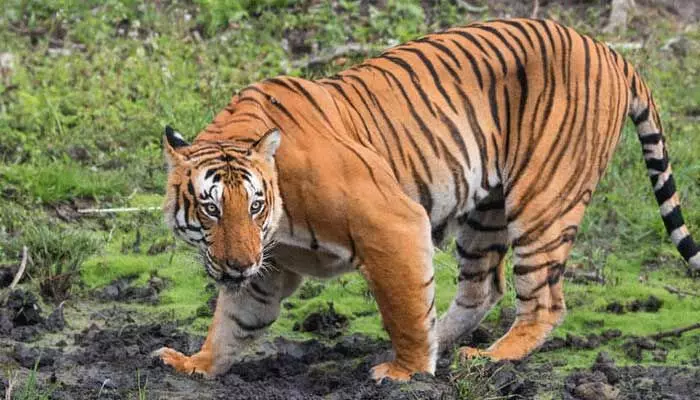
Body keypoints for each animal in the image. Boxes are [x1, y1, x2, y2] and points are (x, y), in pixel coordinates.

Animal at [153, 18, 700, 382]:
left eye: (255, 205)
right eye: (211, 208)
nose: (238, 264)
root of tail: (610, 51)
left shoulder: (391, 221)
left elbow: (404, 305)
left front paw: (408, 371)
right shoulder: (267, 266)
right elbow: (235, 320)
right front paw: (195, 363)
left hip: (544, 200)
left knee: (543, 299)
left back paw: (490, 357)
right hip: (487, 210)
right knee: (483, 288)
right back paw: (451, 343)